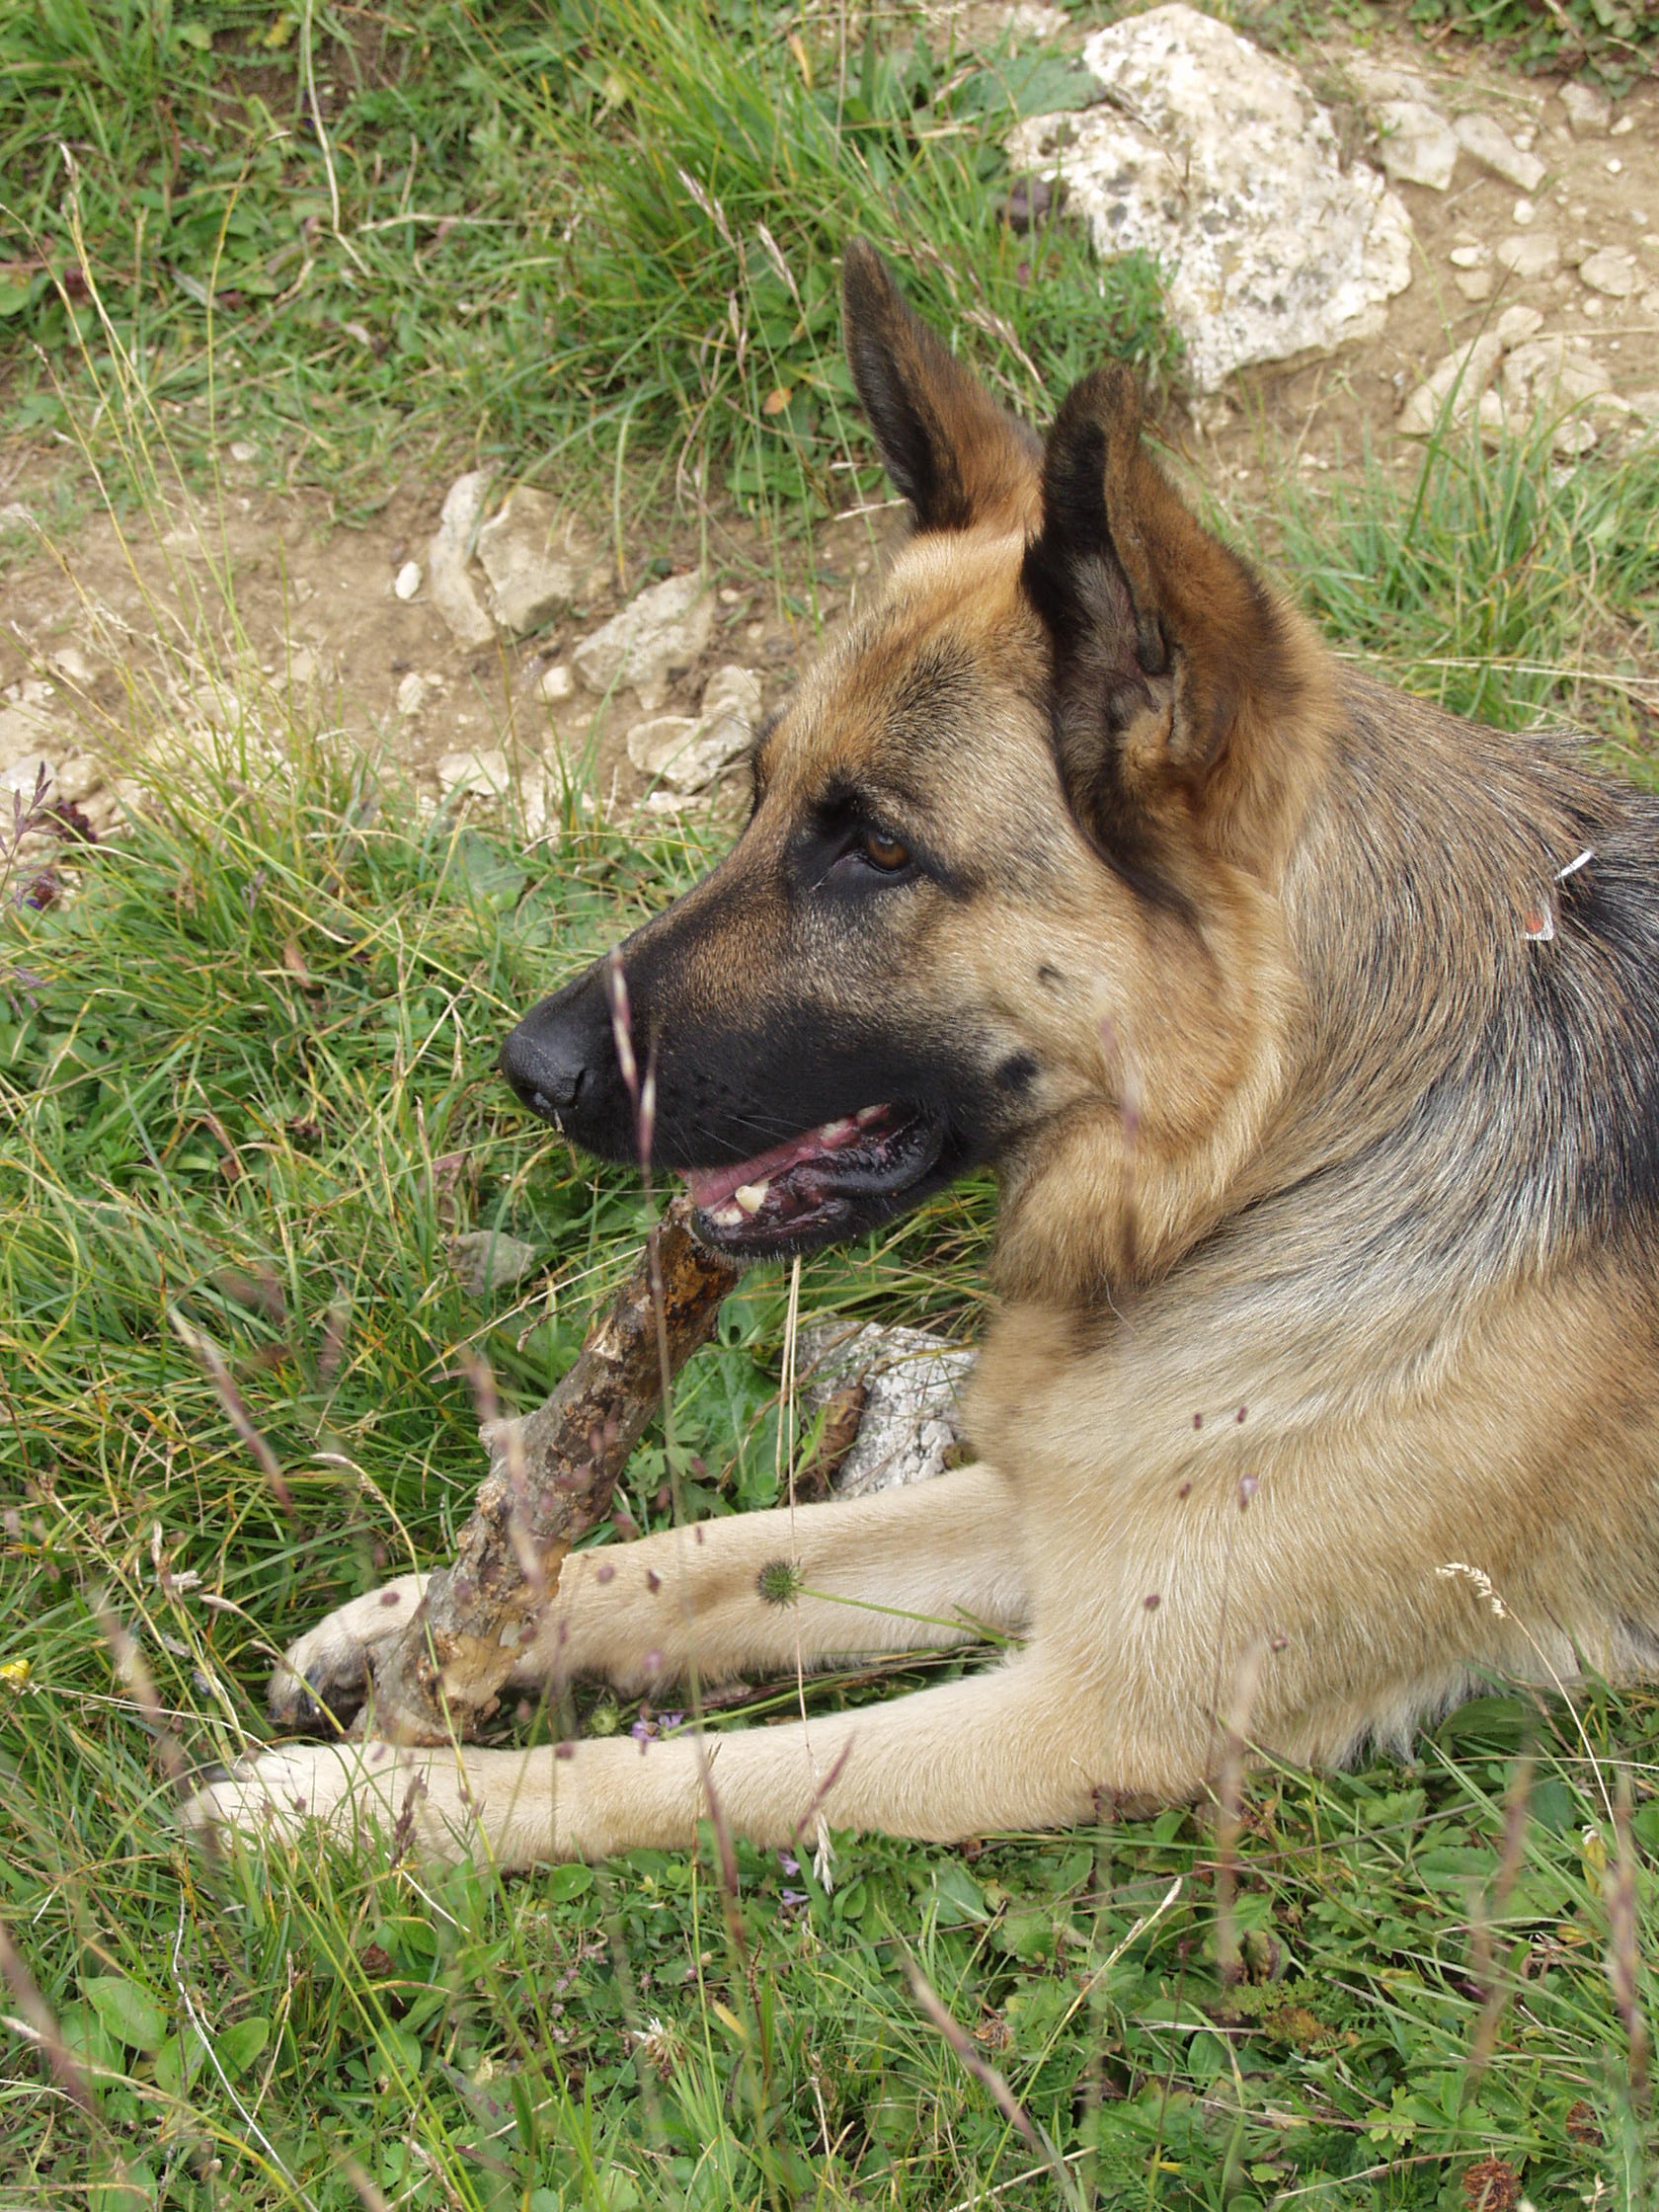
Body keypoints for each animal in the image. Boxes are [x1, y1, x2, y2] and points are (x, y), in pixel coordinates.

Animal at [191, 242, 1659, 1866]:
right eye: (757, 791)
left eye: (881, 849)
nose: (531, 1068)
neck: (1271, 1163)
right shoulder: (1045, 1500)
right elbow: (723, 1551)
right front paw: (415, 1621)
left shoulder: (1097, 1711)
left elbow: (685, 1772)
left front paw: (355, 1809)